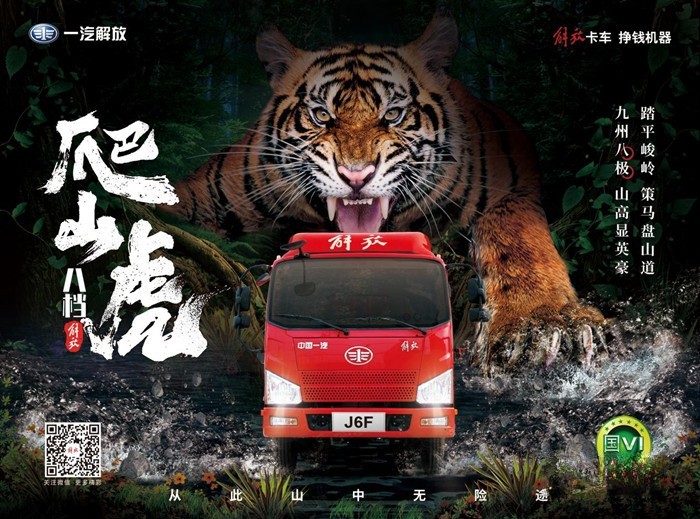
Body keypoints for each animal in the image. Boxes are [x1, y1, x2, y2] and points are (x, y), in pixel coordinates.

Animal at [162, 13, 605, 369]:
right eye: (321, 115)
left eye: (393, 114)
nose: (355, 175)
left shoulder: (508, 191)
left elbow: (518, 241)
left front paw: (545, 324)